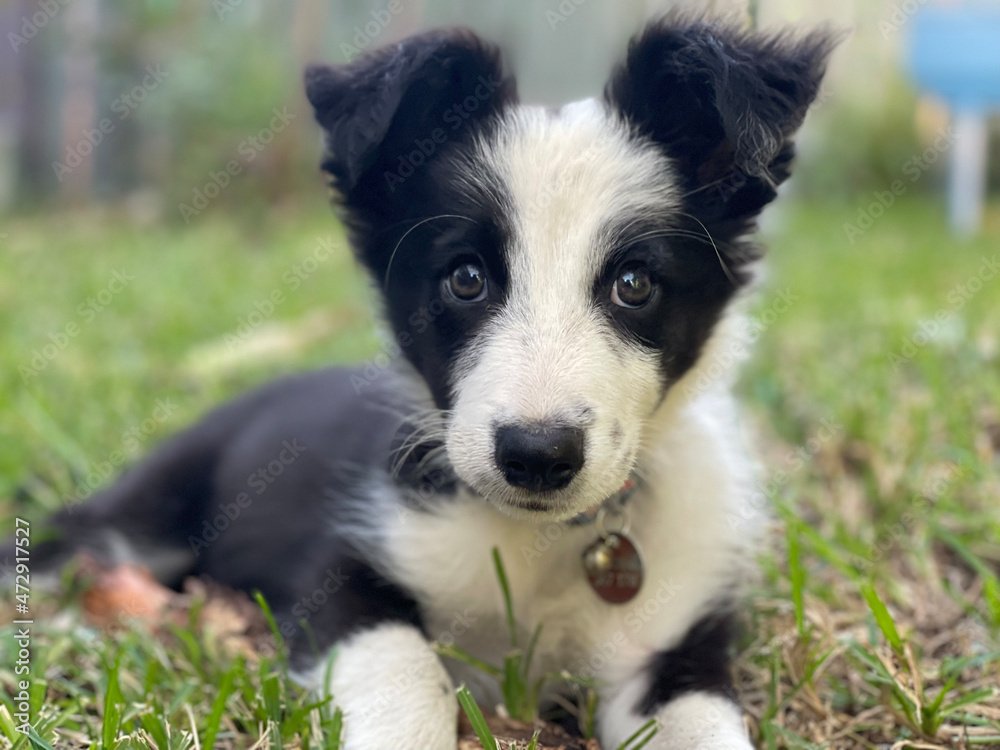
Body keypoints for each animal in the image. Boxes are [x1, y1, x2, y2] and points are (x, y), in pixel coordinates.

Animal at [15, 16, 836, 750]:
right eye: (466, 278)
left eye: (634, 284)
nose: (537, 456)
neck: (540, 543)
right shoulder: (344, 575)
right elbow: (407, 673)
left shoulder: (676, 638)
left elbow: (701, 720)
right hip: (144, 515)